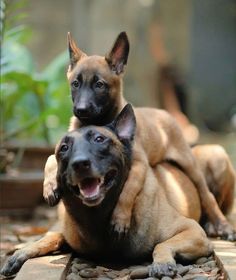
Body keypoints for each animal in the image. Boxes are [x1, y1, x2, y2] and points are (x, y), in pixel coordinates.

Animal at [0, 105, 214, 278]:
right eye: (64, 148)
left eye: (99, 139)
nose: (80, 164)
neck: (97, 217)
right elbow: (52, 237)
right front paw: (23, 251)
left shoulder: (193, 231)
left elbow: (161, 244)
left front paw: (162, 262)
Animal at [42, 31, 236, 240]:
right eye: (75, 84)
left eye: (99, 85)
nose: (81, 109)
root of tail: (166, 113)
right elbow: (49, 159)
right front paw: (50, 185)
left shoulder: (139, 165)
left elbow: (127, 192)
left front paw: (120, 219)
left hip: (192, 165)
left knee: (207, 196)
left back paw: (222, 225)